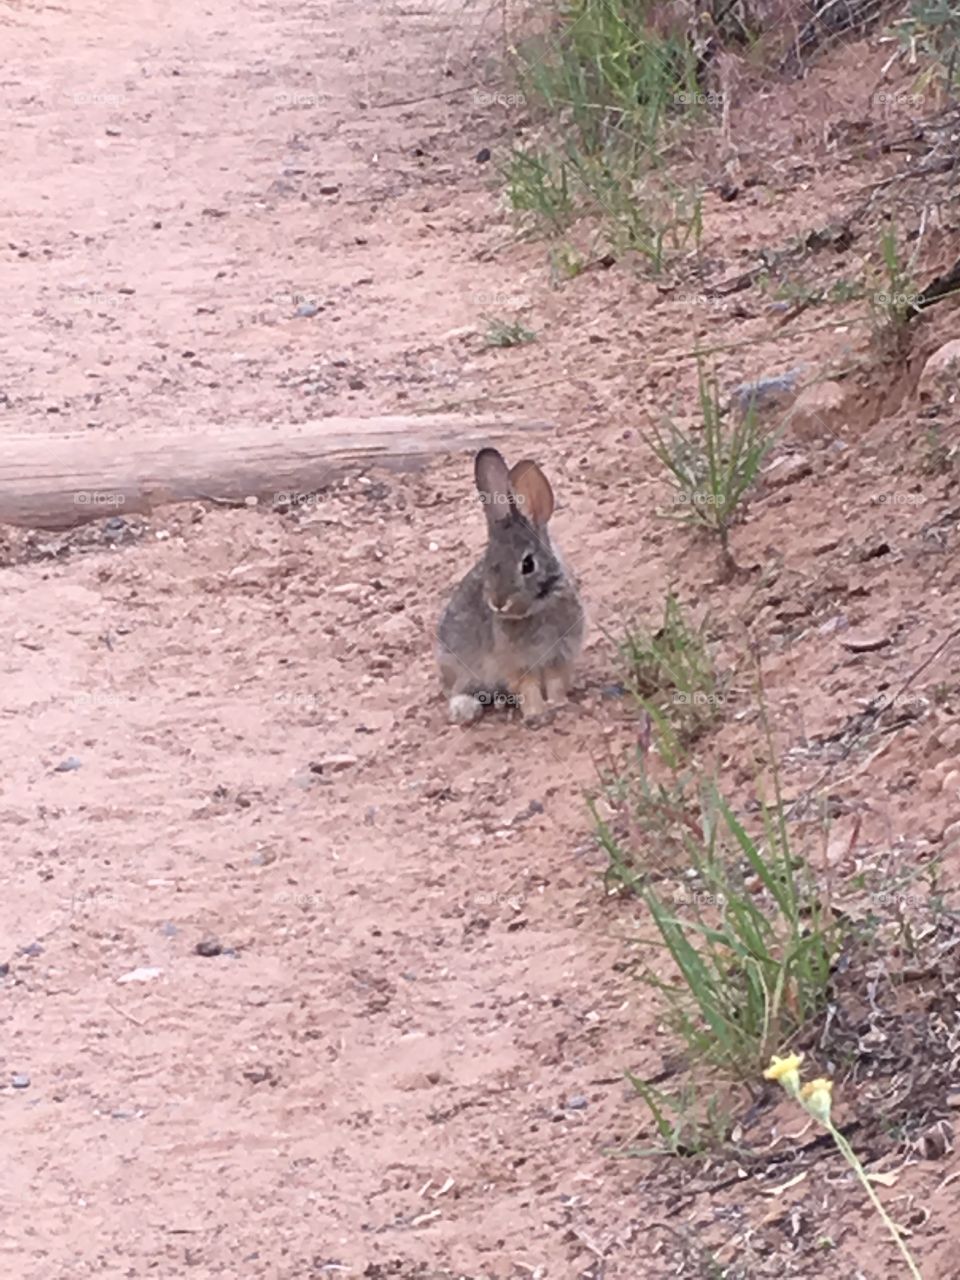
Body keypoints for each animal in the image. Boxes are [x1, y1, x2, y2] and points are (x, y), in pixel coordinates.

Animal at [436, 447, 585, 725]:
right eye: (487, 561)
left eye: (528, 564)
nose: (498, 603)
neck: (538, 608)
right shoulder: (516, 664)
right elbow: (528, 688)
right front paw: (536, 714)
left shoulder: (559, 656)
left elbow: (555, 683)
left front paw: (558, 704)